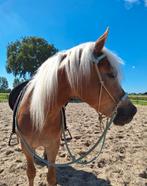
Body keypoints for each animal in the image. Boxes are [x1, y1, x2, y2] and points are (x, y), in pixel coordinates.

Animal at [16, 28, 137, 185]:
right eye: (111, 74)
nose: (132, 111)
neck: (37, 116)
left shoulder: (53, 146)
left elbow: (51, 177)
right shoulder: (26, 148)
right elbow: (31, 173)